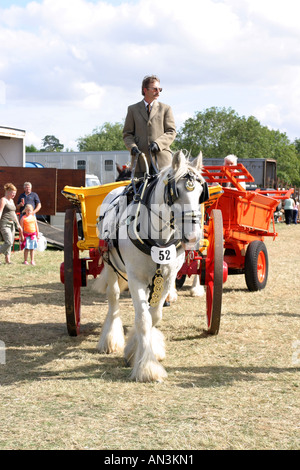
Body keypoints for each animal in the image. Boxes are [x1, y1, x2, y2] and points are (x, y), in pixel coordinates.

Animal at [95, 151, 207, 382]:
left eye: (201, 192)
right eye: (176, 193)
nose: (193, 237)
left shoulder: (167, 277)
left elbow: (153, 316)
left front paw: (140, 349)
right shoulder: (135, 277)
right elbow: (143, 319)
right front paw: (147, 367)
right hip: (110, 264)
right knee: (113, 297)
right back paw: (110, 339)